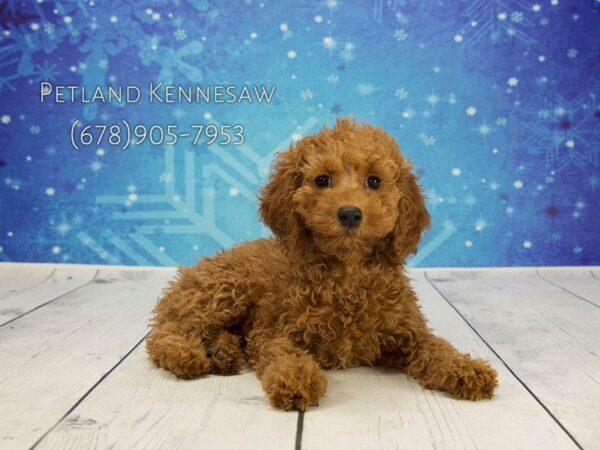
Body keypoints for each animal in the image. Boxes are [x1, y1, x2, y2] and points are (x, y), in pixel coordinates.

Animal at [148, 118, 500, 410]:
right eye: (322, 180)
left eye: (374, 181)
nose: (350, 213)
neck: (347, 272)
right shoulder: (274, 330)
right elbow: (284, 354)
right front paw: (296, 380)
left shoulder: (407, 332)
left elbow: (435, 346)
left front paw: (466, 368)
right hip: (226, 289)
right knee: (166, 332)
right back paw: (186, 354)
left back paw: (223, 353)